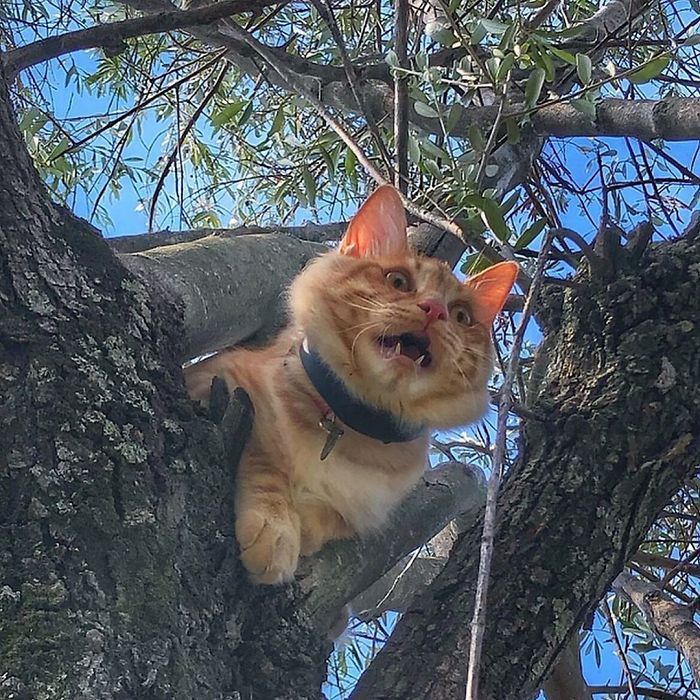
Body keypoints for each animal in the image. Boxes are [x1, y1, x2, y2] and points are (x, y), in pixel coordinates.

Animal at [183, 183, 516, 584]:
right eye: (398, 281)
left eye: (462, 316)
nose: (435, 309)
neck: (348, 426)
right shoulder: (220, 380)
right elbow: (266, 458)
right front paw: (276, 527)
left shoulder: (367, 512)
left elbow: (332, 516)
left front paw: (308, 524)